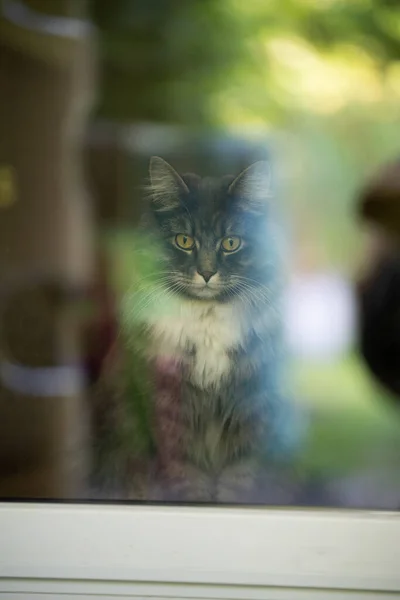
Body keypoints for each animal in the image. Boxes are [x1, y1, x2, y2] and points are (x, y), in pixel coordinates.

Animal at [91, 156, 304, 502]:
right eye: (184, 241)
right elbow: (189, 483)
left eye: (230, 243)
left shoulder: (250, 414)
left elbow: (239, 483)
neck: (208, 321)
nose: (206, 273)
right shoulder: (171, 417)